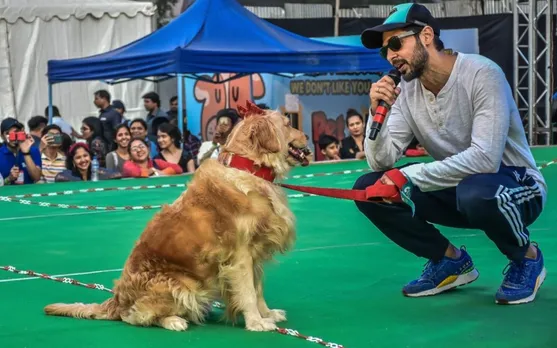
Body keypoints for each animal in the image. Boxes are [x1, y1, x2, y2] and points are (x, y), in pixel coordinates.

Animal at [42, 102, 312, 334]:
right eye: (287, 124)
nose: (307, 137)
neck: (249, 168)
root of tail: (117, 299)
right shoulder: (240, 254)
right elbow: (247, 292)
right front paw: (256, 322)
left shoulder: (255, 252)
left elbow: (258, 289)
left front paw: (267, 313)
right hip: (184, 286)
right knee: (136, 317)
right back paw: (173, 321)